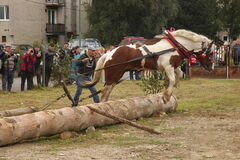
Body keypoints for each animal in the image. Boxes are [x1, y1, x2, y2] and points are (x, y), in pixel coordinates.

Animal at [83, 29, 215, 102]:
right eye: (211, 52)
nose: (211, 67)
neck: (175, 46)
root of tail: (109, 53)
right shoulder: (168, 67)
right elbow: (172, 79)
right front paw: (166, 96)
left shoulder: (175, 66)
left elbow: (179, 75)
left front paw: (169, 88)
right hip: (112, 76)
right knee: (104, 92)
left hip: (115, 77)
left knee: (107, 92)